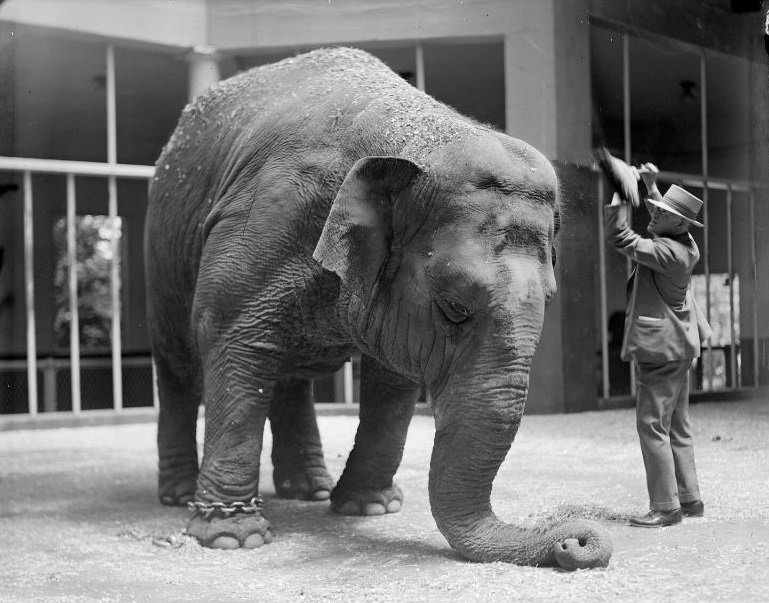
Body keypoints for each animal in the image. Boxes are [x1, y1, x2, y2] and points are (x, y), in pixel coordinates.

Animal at [145, 47, 612, 570]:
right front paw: (232, 539)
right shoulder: (265, 221)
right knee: (181, 365)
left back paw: (309, 490)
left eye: (549, 300)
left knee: (289, 373)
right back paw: (180, 495)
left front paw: (369, 509)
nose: (575, 540)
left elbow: (393, 380)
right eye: (454, 307)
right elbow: (233, 340)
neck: (422, 140)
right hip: (162, 253)